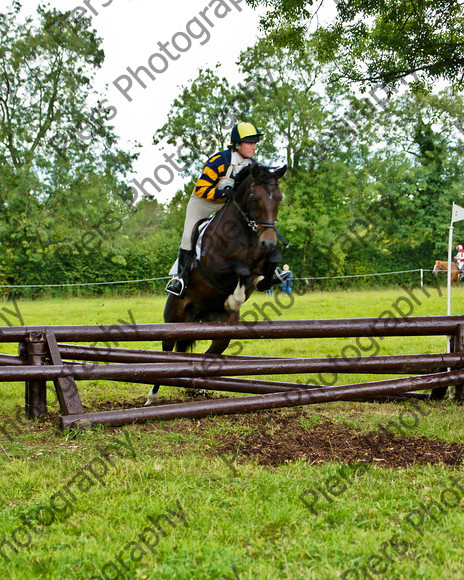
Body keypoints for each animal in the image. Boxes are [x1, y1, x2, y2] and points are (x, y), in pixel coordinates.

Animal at [147, 163, 288, 404]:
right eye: (254, 198)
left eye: (279, 198)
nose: (268, 241)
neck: (245, 231)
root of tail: (198, 312)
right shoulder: (215, 265)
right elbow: (240, 269)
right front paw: (234, 300)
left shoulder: (262, 259)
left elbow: (271, 262)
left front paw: (266, 281)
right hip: (174, 320)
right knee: (167, 354)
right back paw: (152, 396)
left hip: (221, 332)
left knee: (206, 355)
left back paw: (199, 387)